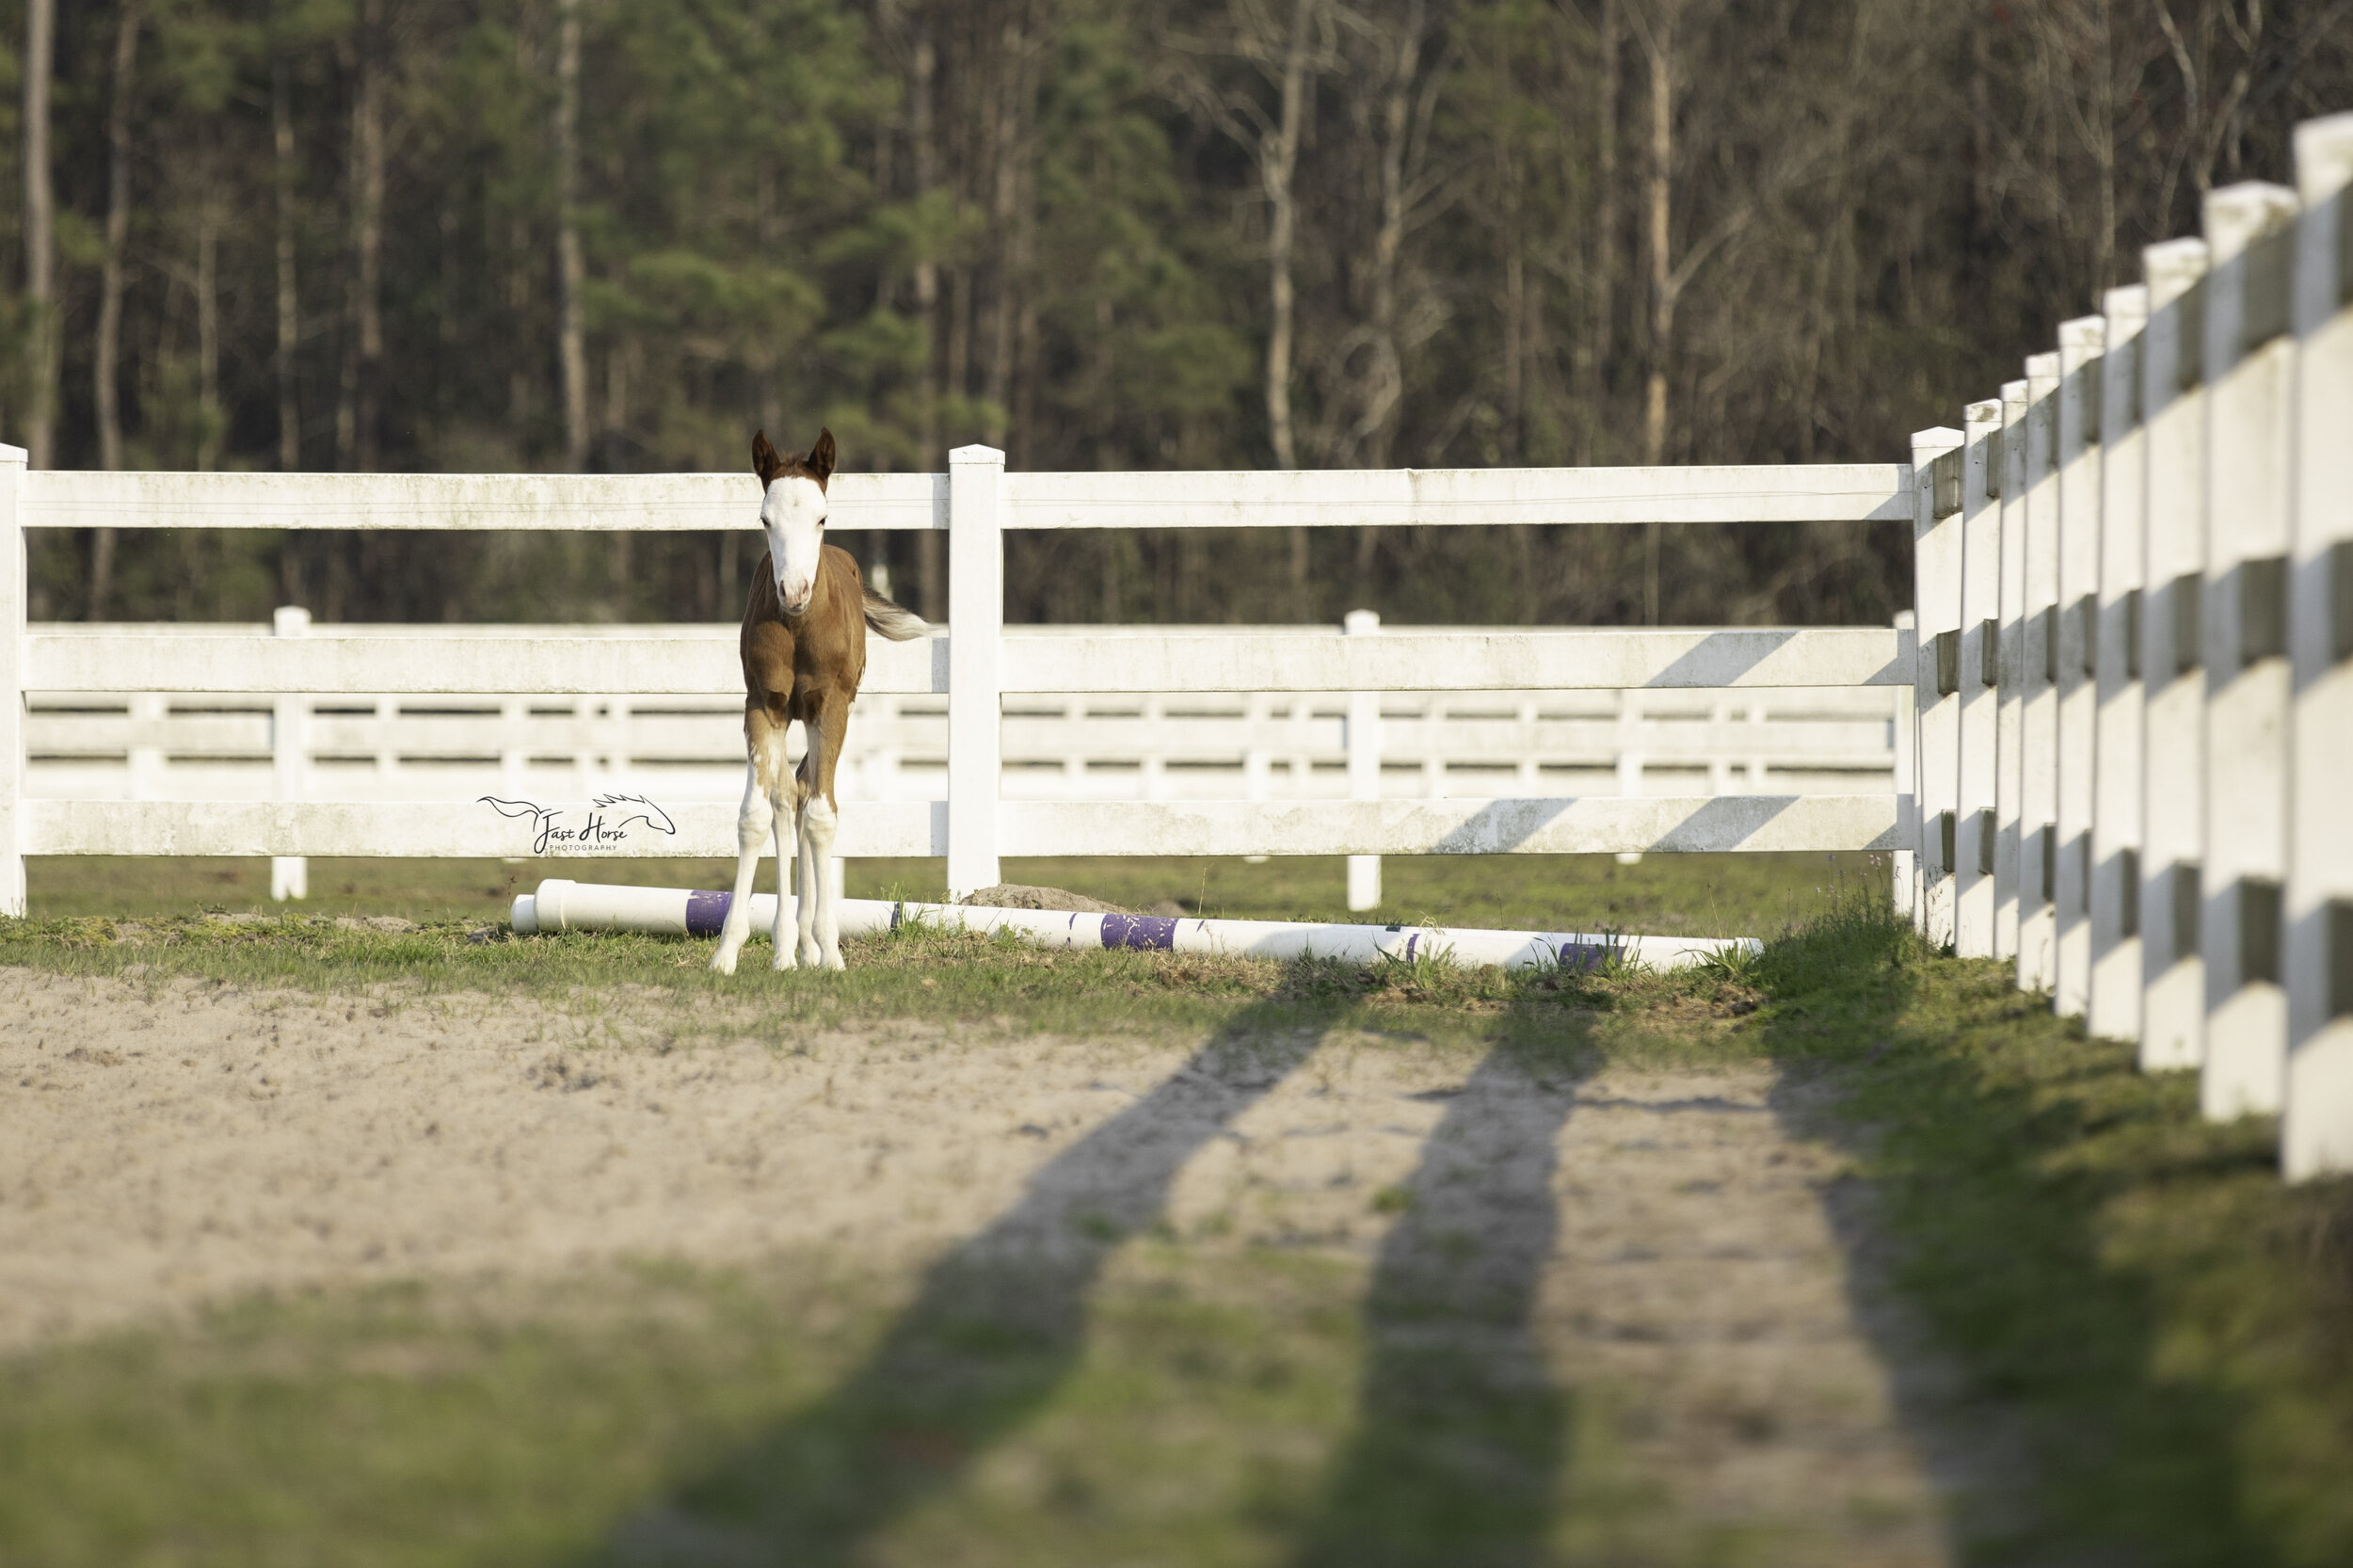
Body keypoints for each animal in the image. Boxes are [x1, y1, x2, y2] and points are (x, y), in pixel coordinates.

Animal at [715, 428, 927, 965]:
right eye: (765, 519)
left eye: (822, 517)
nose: (793, 592)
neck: (798, 628)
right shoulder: (762, 705)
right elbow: (756, 816)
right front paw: (728, 951)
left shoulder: (829, 708)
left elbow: (821, 817)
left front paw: (830, 951)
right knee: (788, 796)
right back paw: (788, 945)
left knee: (809, 793)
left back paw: (809, 944)